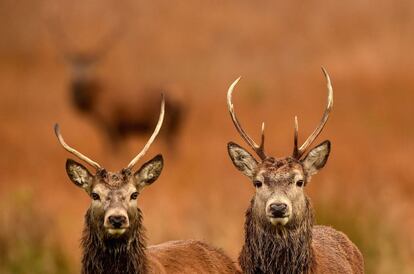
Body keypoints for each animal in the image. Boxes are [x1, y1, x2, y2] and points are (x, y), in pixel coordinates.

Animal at [48, 18, 184, 150]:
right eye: (72, 67)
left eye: (91, 67)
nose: (79, 81)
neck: (93, 103)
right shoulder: (121, 131)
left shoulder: (110, 124)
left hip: (162, 126)